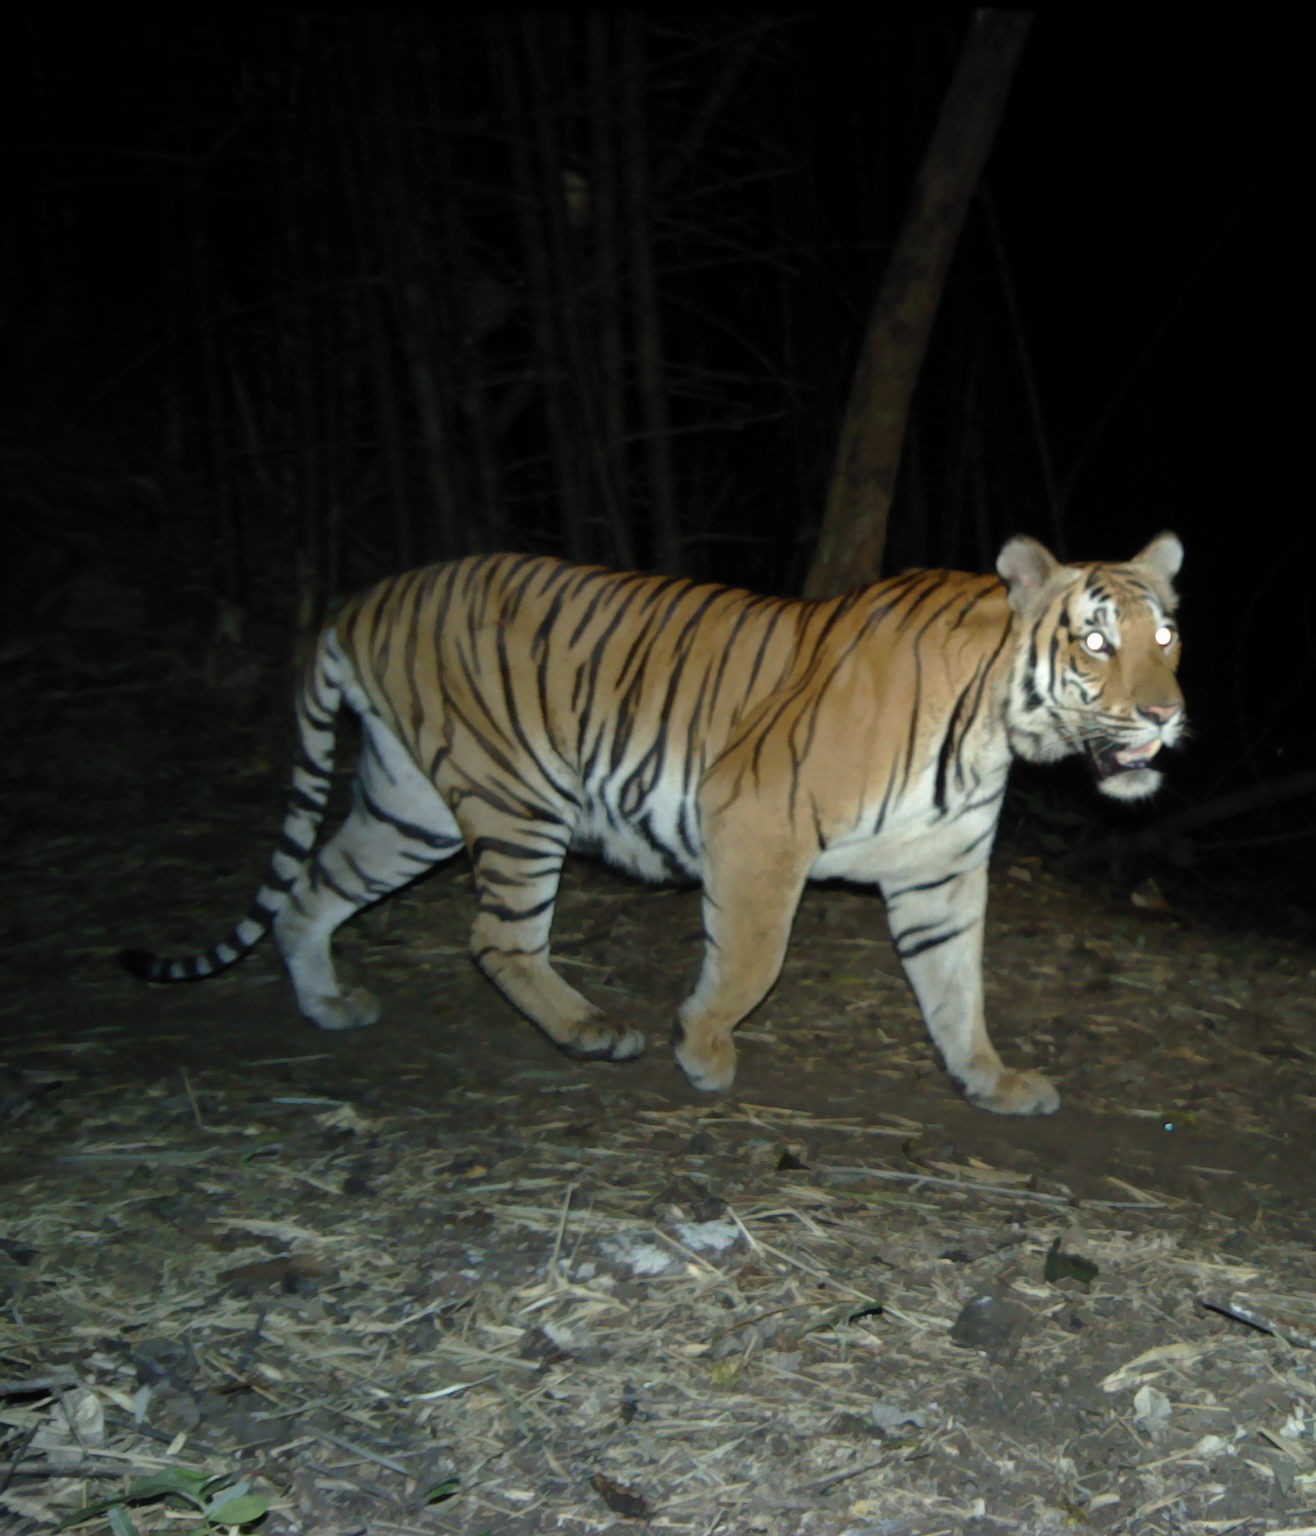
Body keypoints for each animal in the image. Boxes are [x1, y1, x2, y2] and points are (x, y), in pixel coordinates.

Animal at [123, 534, 1185, 1116]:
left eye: (1166, 635)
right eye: (1097, 642)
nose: (1168, 714)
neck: (996, 732)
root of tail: (360, 599)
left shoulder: (938, 875)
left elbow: (957, 989)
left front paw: (989, 1082)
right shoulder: (755, 824)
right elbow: (752, 958)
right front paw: (703, 1047)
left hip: (408, 804)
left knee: (311, 891)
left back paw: (326, 1005)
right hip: (517, 800)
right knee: (494, 938)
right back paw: (592, 1032)